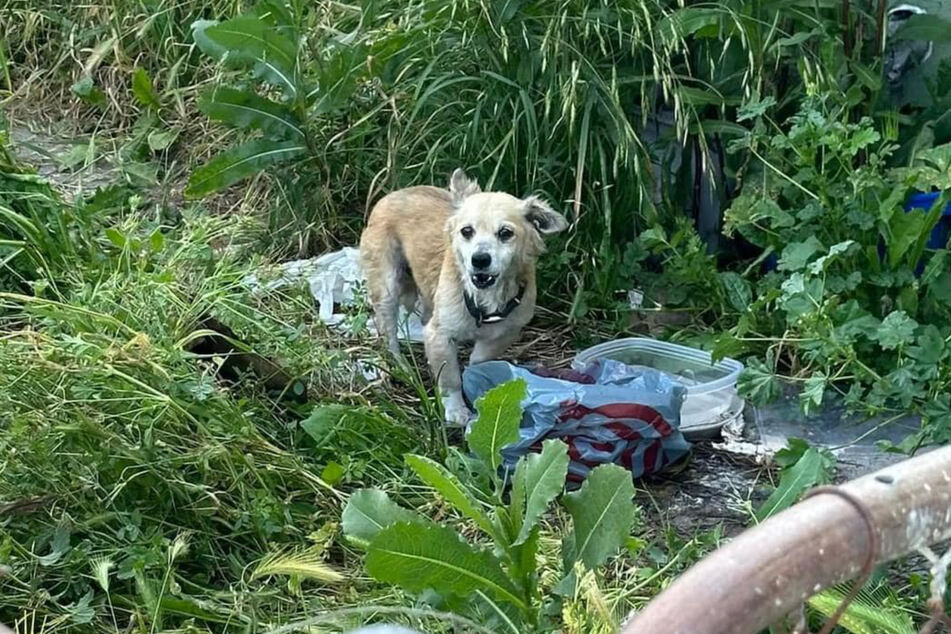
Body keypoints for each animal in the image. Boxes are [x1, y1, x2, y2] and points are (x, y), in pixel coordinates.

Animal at [356, 170, 564, 422]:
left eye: (505, 233)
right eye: (467, 231)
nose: (480, 259)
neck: (484, 299)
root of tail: (394, 193)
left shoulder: (505, 333)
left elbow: (478, 360)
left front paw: (476, 378)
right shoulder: (439, 334)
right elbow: (450, 377)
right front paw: (455, 408)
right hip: (387, 289)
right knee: (389, 335)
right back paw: (402, 367)